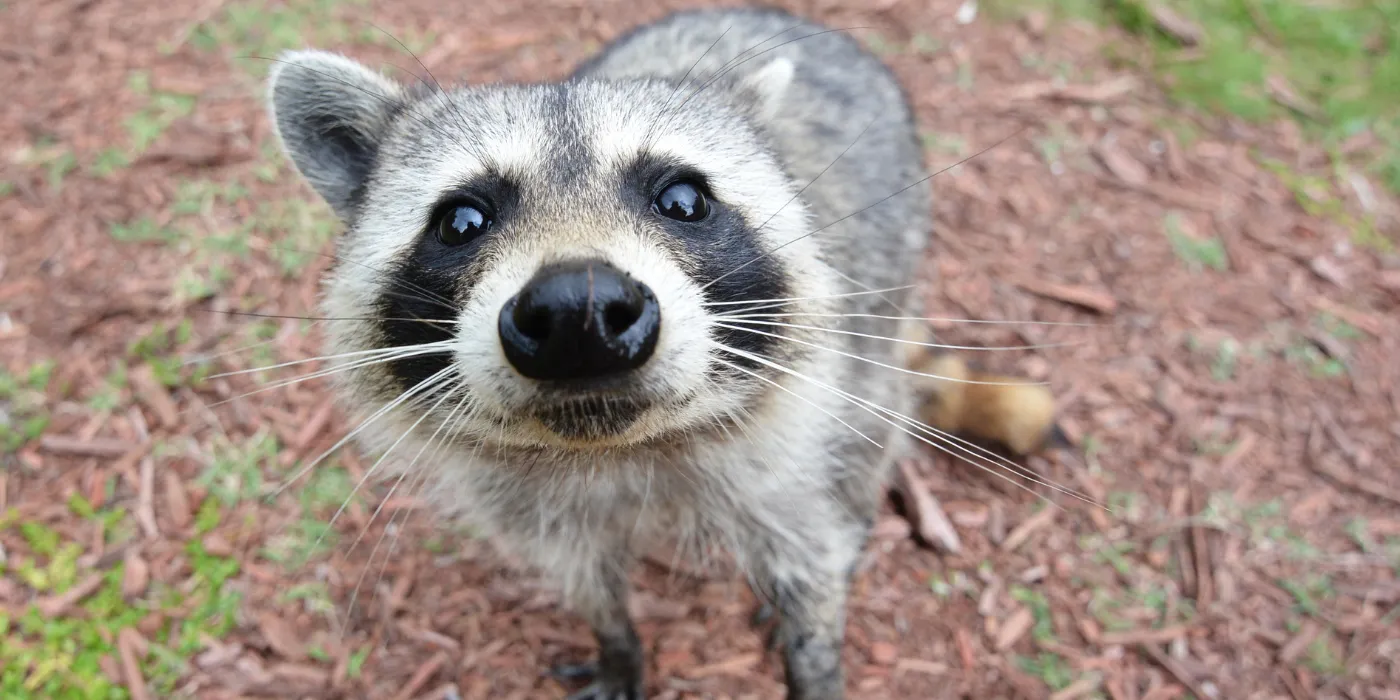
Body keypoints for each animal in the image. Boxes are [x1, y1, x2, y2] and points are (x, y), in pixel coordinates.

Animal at [266, 6, 932, 699]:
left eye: (683, 201)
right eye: (460, 222)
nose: (576, 314)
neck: (614, 452)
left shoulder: (794, 444)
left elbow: (811, 558)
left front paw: (813, 653)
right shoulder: (527, 506)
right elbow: (584, 578)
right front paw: (616, 642)